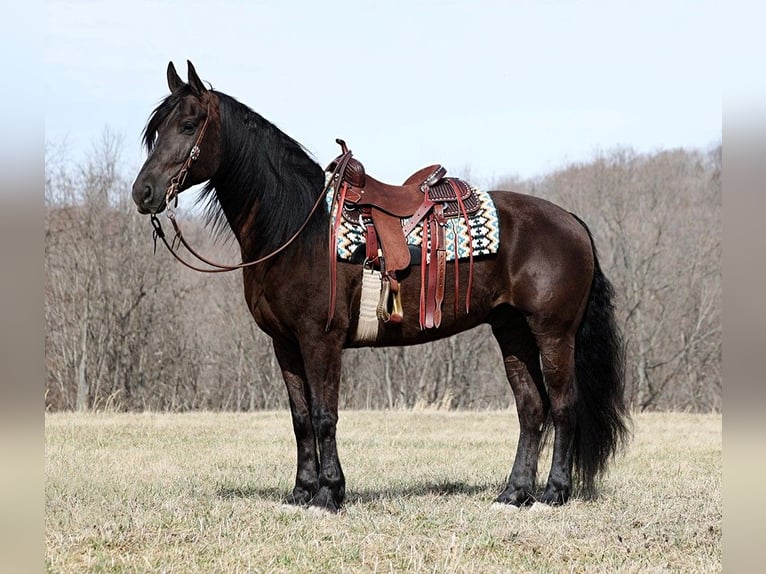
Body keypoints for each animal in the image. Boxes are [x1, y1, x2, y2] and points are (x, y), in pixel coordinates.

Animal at [132, 62, 632, 512]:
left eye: (189, 125)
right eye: (155, 131)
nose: (143, 193)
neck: (299, 229)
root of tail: (571, 222)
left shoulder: (320, 339)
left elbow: (324, 415)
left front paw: (329, 495)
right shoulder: (285, 343)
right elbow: (300, 418)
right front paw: (301, 492)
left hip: (553, 333)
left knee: (563, 406)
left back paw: (553, 494)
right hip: (511, 331)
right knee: (532, 409)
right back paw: (513, 494)